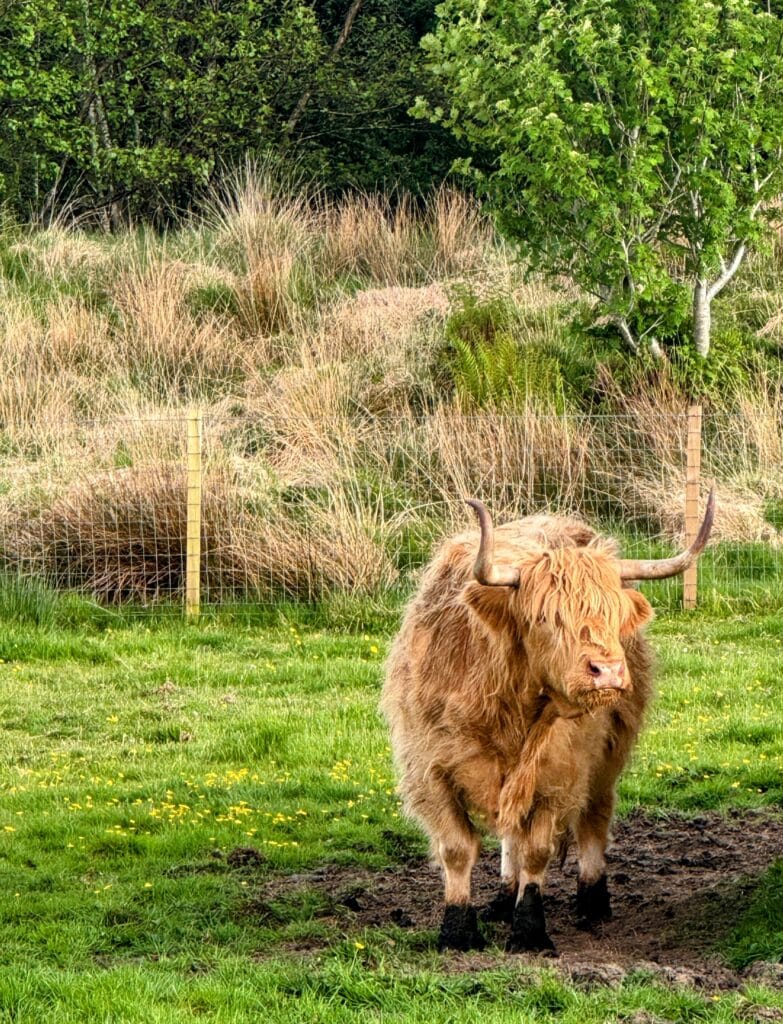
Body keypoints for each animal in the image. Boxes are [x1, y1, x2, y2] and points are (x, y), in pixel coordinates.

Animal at [381, 493, 715, 953]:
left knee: (593, 818)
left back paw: (592, 900)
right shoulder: (429, 770)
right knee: (511, 836)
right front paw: (458, 931)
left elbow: (537, 850)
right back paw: (504, 898)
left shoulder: (559, 774)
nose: (608, 671)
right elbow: (457, 849)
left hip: (605, 758)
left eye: (613, 614)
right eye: (544, 618)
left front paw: (529, 930)